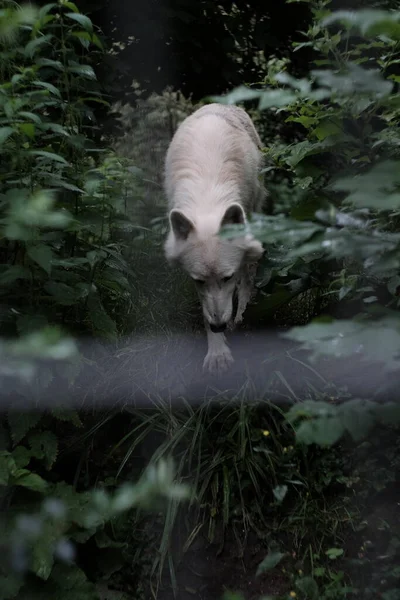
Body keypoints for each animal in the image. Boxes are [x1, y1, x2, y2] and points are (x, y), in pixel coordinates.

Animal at [162, 105, 266, 372]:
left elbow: (245, 276)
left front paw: (239, 316)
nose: (219, 326)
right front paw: (217, 352)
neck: (206, 199)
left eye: (227, 277)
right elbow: (204, 309)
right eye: (199, 281)